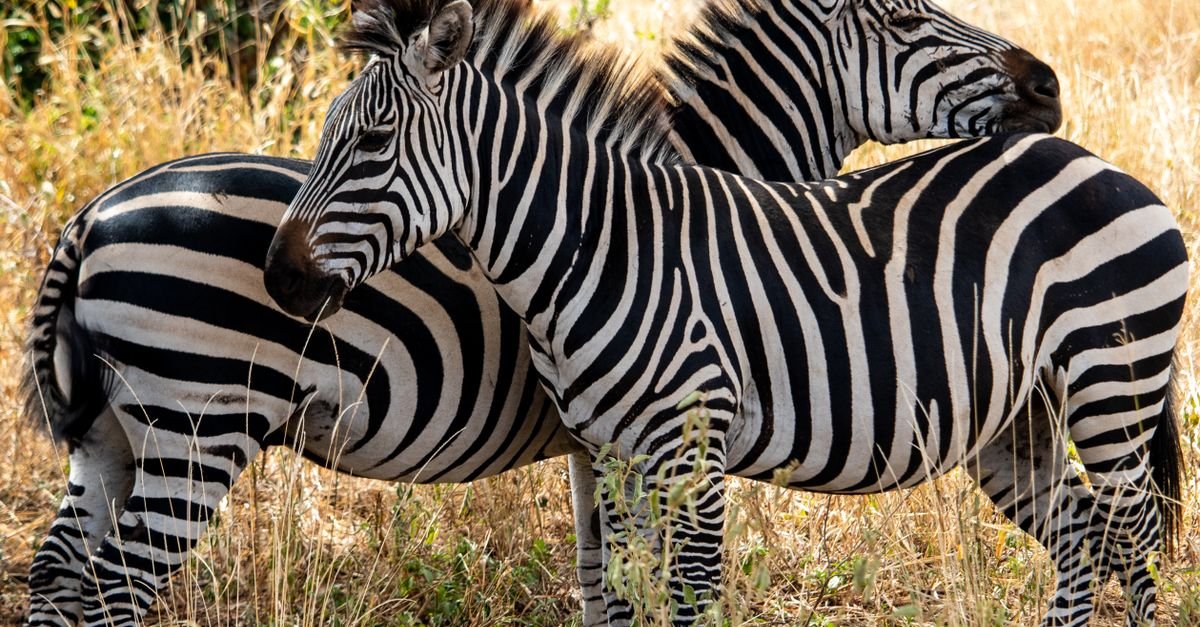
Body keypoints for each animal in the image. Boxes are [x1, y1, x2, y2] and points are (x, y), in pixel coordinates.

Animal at [22, 0, 1065, 624]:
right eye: (906, 15)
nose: (1049, 84)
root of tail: (91, 212)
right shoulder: (622, 435)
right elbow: (625, 582)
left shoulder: (597, 441)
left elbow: (602, 581)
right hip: (199, 426)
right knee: (113, 587)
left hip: (113, 435)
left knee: (59, 570)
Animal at [263, 0, 1187, 625]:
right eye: (903, 16)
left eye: (373, 143)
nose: (280, 277)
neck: (598, 244)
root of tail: (1098, 161)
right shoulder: (611, 458)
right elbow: (616, 592)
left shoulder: (692, 458)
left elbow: (684, 599)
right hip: (1020, 417)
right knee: (1084, 531)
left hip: (1111, 382)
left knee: (1131, 536)